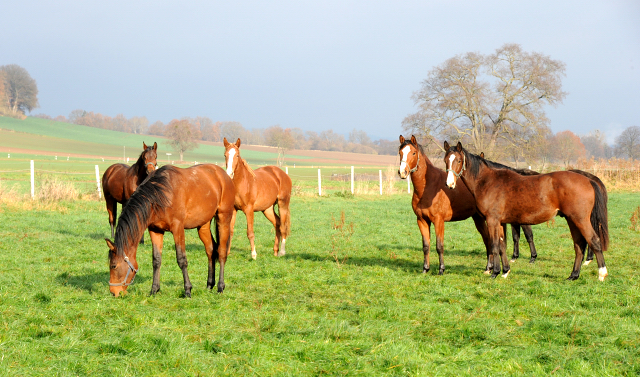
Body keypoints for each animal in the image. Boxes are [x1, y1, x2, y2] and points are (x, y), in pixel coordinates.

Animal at [105, 164, 235, 296]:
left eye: (113, 266)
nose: (113, 292)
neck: (160, 195)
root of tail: (223, 174)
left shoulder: (178, 229)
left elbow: (181, 259)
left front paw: (187, 290)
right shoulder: (155, 230)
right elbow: (156, 260)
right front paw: (154, 289)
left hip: (223, 218)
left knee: (222, 252)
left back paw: (220, 287)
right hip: (203, 225)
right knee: (210, 250)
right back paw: (209, 284)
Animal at [398, 135, 536, 274]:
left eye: (413, 153)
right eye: (400, 153)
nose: (402, 172)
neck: (428, 187)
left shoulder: (438, 221)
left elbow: (439, 246)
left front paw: (441, 269)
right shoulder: (421, 220)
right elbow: (426, 246)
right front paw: (425, 269)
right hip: (480, 219)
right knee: (488, 240)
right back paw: (489, 268)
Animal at [442, 140, 608, 280]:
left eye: (458, 160)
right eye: (445, 160)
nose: (449, 184)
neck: (488, 181)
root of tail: (588, 180)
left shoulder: (492, 220)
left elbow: (495, 245)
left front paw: (494, 273)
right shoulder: (500, 222)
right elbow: (502, 245)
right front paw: (505, 271)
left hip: (580, 219)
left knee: (594, 241)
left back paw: (601, 274)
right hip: (572, 220)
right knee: (579, 245)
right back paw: (573, 275)